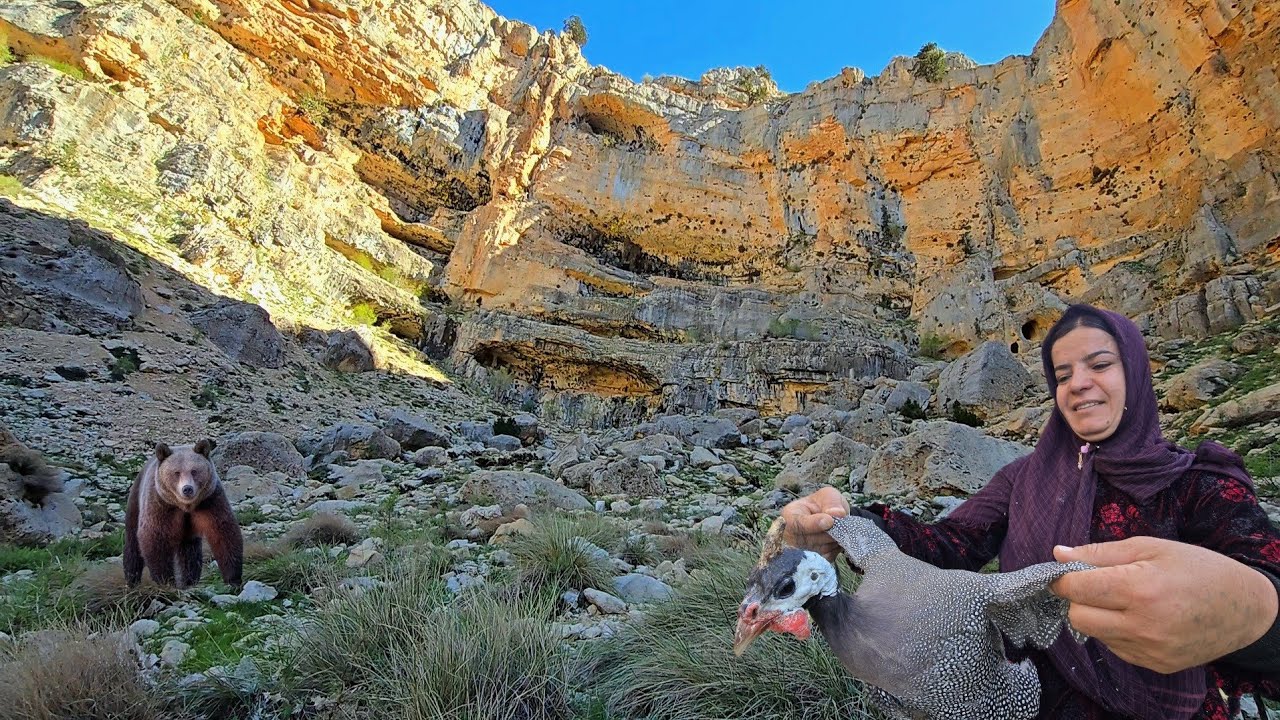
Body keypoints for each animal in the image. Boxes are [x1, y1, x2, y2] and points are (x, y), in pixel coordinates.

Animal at [124, 439, 243, 589]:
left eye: (194, 471)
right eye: (176, 472)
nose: (187, 489)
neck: (185, 506)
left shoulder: (210, 501)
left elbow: (223, 532)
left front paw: (233, 578)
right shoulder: (161, 505)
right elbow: (155, 536)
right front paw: (165, 580)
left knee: (189, 551)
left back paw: (189, 580)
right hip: (135, 502)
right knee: (132, 545)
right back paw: (131, 580)